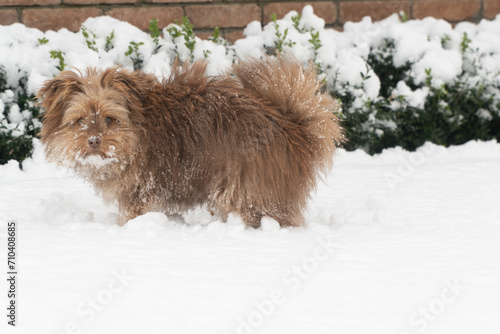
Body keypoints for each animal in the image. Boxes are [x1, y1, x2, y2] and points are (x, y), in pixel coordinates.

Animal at [38, 56, 344, 227]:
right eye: (79, 120)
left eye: (111, 119)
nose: (93, 141)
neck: (139, 130)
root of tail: (291, 124)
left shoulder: (140, 191)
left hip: (250, 189)